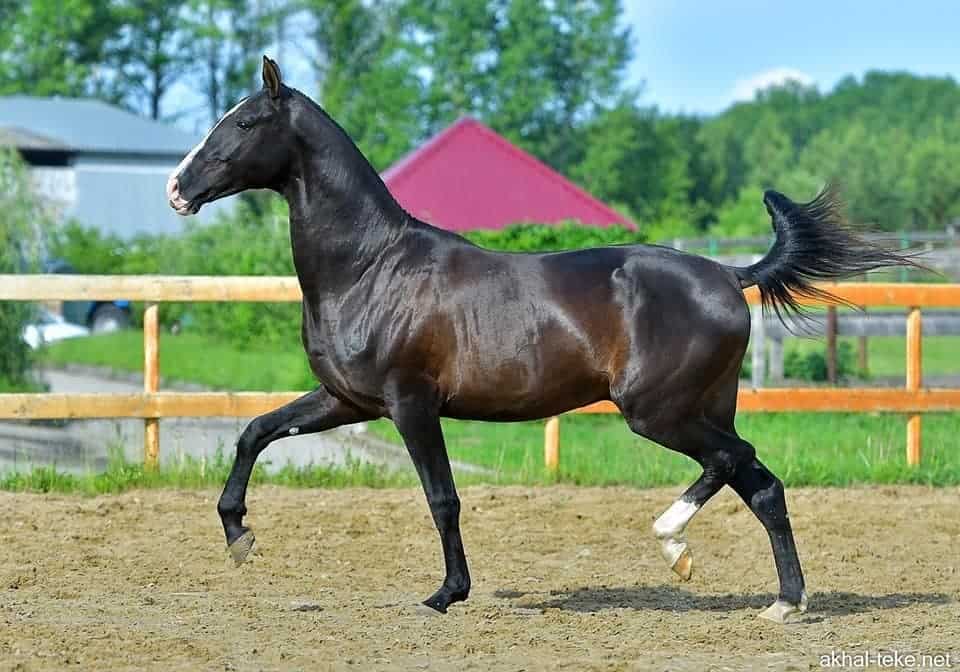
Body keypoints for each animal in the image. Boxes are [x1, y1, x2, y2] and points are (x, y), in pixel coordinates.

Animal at [167, 56, 914, 623]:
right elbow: (255, 433)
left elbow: (442, 497)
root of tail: (731, 275)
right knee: (760, 484)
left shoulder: (411, 404)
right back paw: (781, 601)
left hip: (658, 412)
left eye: (244, 121)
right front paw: (239, 536)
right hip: (699, 408)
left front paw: (446, 594)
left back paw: (673, 543)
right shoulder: (346, 399)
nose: (177, 187)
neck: (370, 267)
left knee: (737, 462)